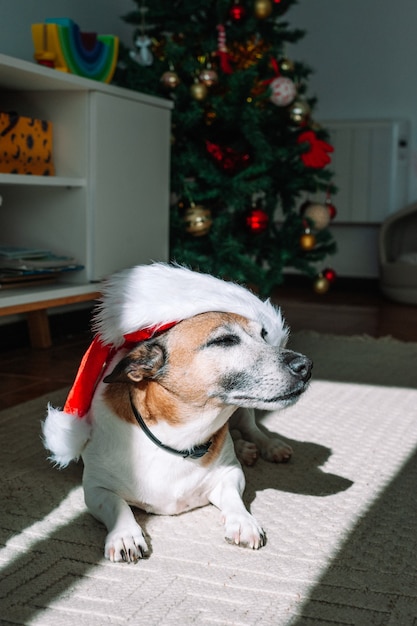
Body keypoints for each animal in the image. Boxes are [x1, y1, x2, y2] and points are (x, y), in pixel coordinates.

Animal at [43, 262, 308, 560]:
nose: (306, 366)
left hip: (243, 411)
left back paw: (266, 446)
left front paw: (242, 521)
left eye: (263, 335)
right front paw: (124, 535)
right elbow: (117, 505)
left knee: (252, 429)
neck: (180, 438)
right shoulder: (95, 489)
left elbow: (233, 498)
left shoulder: (230, 475)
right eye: (224, 341)